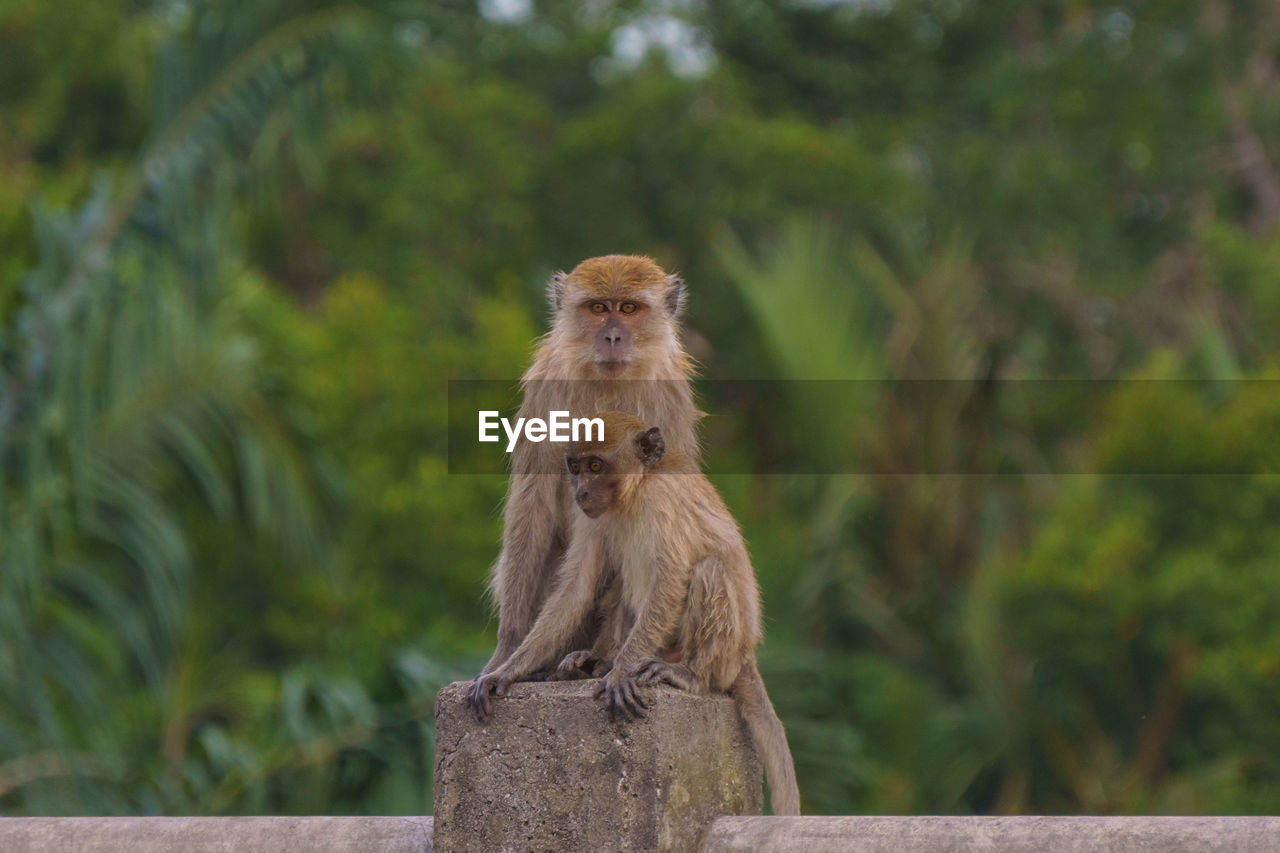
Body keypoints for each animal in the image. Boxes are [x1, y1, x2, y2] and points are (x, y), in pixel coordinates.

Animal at [471, 409, 798, 809]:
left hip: (726, 655)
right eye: (576, 467)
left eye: (596, 465)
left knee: (708, 570)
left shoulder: (662, 500)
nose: (580, 491)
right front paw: (506, 671)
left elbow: (670, 580)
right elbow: (576, 589)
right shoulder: (593, 516)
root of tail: (746, 656)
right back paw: (595, 660)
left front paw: (618, 675)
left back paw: (690, 675)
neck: (636, 490)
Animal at [473, 252, 701, 686]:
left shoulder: (669, 397)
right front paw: (509, 647)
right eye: (598, 308)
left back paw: (598, 655)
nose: (612, 337)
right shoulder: (546, 387)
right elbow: (533, 501)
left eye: (628, 309)